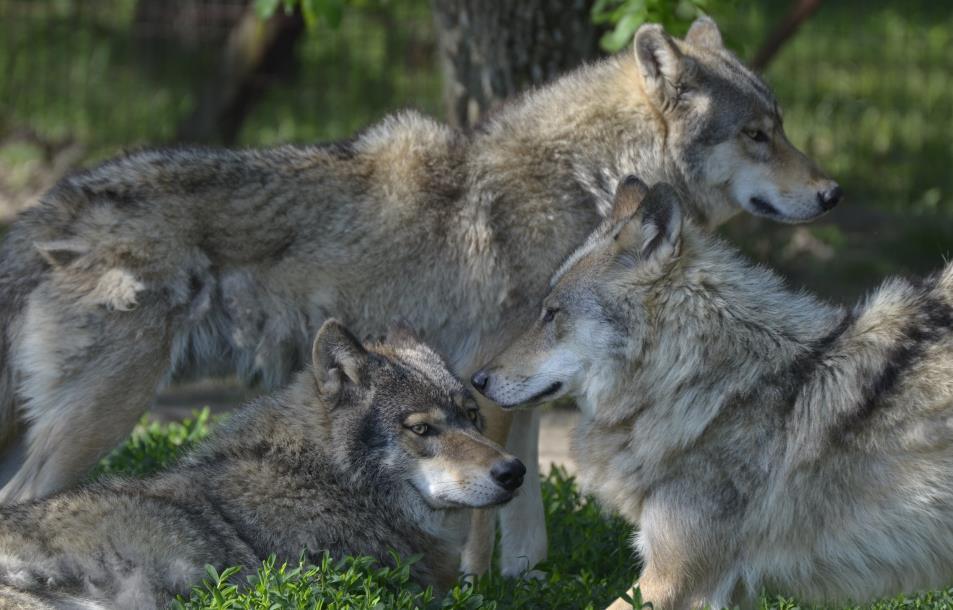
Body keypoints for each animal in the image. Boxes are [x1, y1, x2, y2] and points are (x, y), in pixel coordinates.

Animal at [0, 15, 836, 576]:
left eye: (782, 126)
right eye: (757, 134)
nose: (830, 194)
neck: (579, 186)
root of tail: (55, 202)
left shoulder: (516, 394)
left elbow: (525, 523)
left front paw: (524, 584)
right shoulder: (487, 390)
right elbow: (480, 516)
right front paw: (473, 586)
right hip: (101, 418)